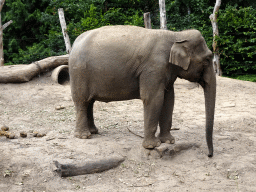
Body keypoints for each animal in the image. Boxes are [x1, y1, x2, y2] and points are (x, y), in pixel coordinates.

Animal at [68, 25, 216, 158]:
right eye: (207, 60)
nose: (209, 155)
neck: (176, 35)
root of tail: (74, 43)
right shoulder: (153, 68)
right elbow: (153, 98)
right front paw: (152, 146)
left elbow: (169, 99)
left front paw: (169, 141)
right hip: (79, 72)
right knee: (82, 101)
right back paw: (84, 136)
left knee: (90, 102)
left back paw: (93, 131)